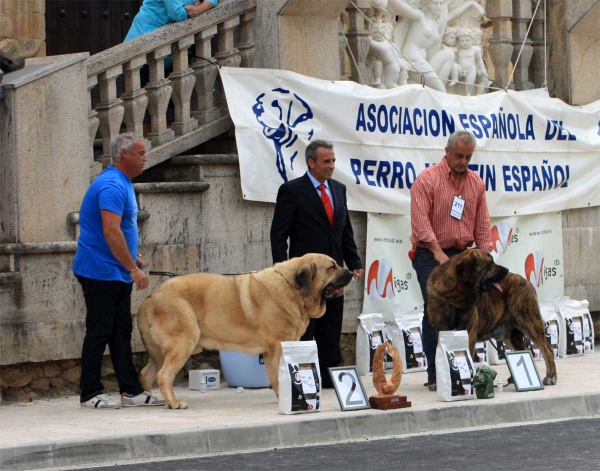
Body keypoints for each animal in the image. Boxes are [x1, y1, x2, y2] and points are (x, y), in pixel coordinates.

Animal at [138, 254, 354, 410]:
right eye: (332, 267)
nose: (352, 272)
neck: (293, 288)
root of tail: (152, 296)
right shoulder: (275, 348)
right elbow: (278, 376)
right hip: (183, 343)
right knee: (164, 375)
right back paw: (174, 403)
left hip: (161, 352)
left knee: (146, 373)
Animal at [426, 251, 556, 388]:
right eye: (490, 263)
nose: (506, 270)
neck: (455, 296)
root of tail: (526, 282)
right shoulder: (441, 331)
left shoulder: (469, 332)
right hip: (510, 334)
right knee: (523, 351)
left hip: (529, 321)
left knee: (548, 350)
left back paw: (550, 377)